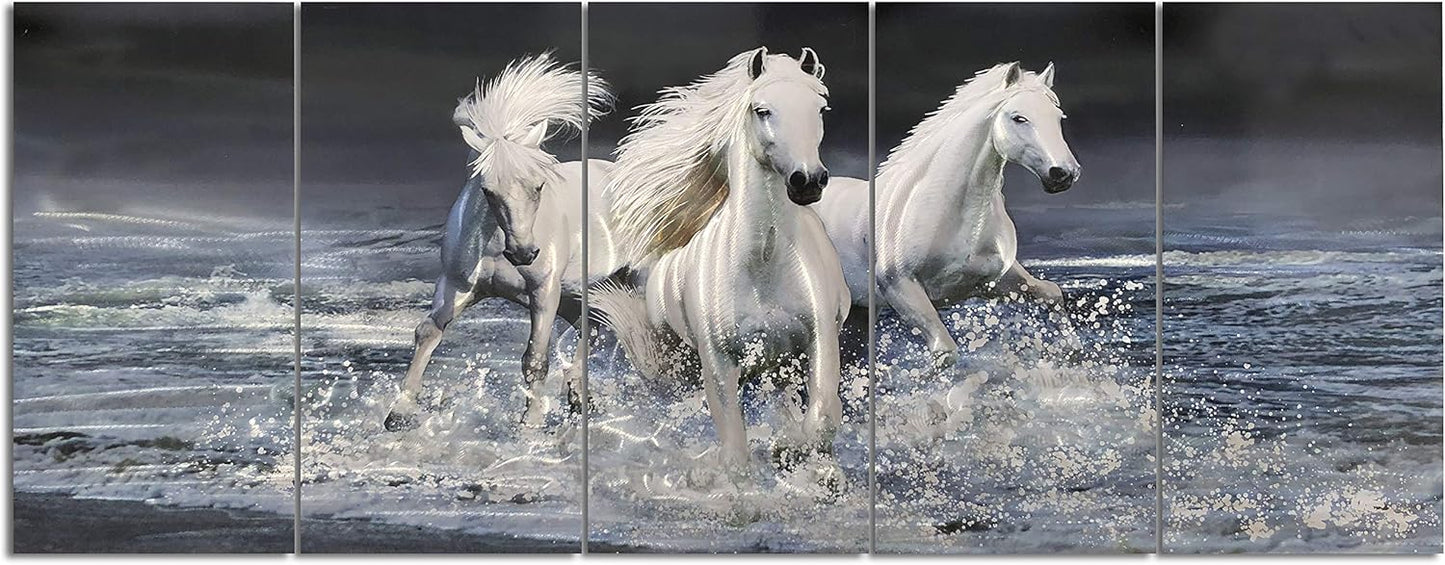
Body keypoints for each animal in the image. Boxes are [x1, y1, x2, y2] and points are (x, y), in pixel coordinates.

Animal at [384, 54, 624, 432]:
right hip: (579, 295)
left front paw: (530, 424)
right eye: (487, 189)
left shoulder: (544, 292)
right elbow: (427, 332)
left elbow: (535, 358)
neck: (496, 245)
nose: (524, 252)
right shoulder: (456, 286)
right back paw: (576, 398)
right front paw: (399, 413)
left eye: (539, 186)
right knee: (594, 329)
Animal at [590, 47, 850, 476]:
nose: (808, 181)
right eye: (762, 110)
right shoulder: (718, 362)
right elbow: (734, 450)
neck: (764, 265)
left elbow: (822, 418)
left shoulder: (818, 341)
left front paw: (797, 457)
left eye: (821, 108)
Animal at [814, 62, 1080, 371]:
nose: (1063, 174)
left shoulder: (994, 281)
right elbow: (945, 352)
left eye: (1058, 118)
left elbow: (1051, 293)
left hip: (859, 314)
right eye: (1019, 118)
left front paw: (1071, 352)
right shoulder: (899, 286)